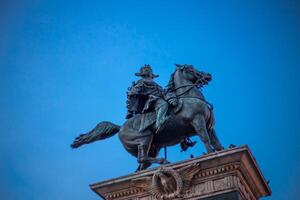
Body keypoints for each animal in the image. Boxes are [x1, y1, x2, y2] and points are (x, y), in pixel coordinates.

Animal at [71, 65, 224, 171]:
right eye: (190, 68)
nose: (208, 75)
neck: (190, 98)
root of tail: (120, 128)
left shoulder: (210, 127)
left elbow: (216, 143)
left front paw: (221, 152)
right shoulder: (198, 121)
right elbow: (205, 139)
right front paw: (210, 154)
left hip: (152, 147)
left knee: (141, 165)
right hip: (145, 138)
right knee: (141, 158)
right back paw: (163, 161)